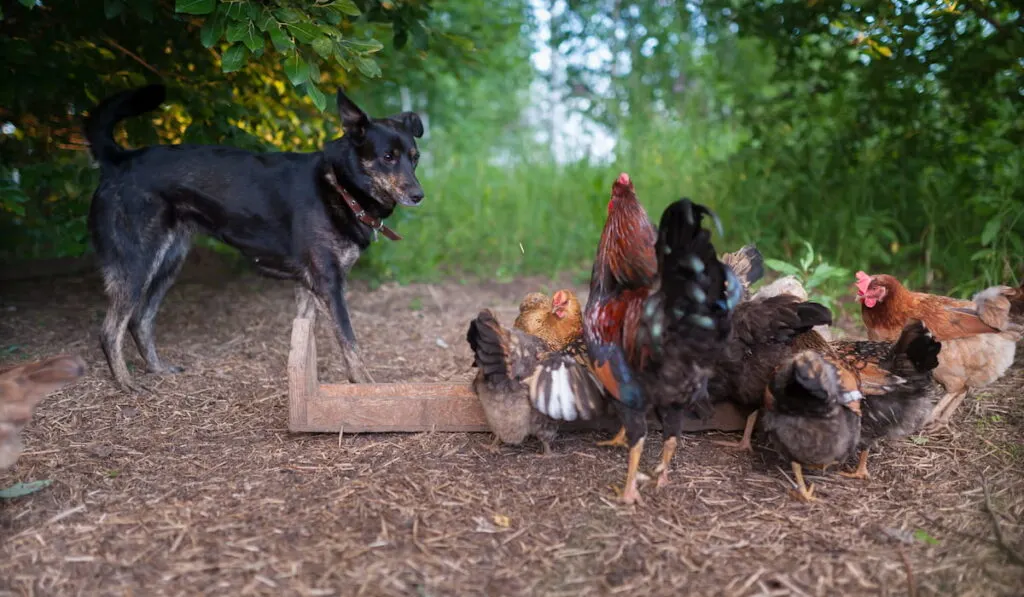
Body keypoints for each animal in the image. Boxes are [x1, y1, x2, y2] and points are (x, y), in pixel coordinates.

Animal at [83, 85, 423, 393]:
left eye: (415, 157)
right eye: (388, 157)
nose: (419, 195)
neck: (339, 185)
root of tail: (119, 159)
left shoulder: (308, 286)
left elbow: (307, 334)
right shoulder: (329, 283)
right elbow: (350, 342)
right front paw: (366, 386)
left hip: (168, 263)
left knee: (140, 320)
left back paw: (157, 368)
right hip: (136, 263)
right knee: (110, 330)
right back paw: (125, 383)